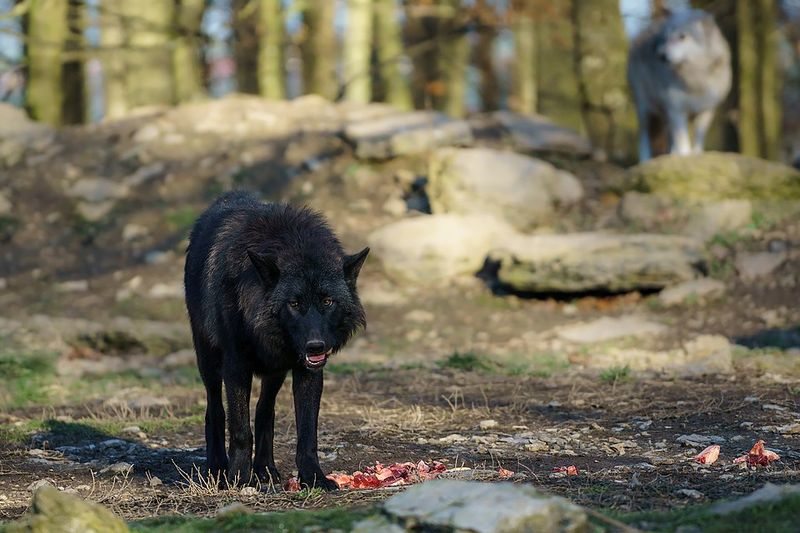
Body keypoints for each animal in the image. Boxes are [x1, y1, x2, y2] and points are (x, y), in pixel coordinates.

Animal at [184, 191, 369, 490]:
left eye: (327, 301)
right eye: (294, 303)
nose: (316, 346)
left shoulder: (307, 372)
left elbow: (307, 434)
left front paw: (314, 478)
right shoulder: (236, 367)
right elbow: (240, 429)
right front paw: (238, 478)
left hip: (276, 373)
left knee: (264, 410)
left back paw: (265, 469)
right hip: (209, 362)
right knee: (215, 410)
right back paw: (218, 467)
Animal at [627, 9, 731, 161]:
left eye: (682, 37)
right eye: (666, 38)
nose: (661, 55)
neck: (695, 79)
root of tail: (643, 31)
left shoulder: (706, 110)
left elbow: (698, 137)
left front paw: (696, 154)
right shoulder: (677, 110)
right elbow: (683, 140)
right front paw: (685, 157)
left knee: (670, 135)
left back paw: (672, 155)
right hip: (645, 109)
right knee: (644, 136)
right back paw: (646, 160)